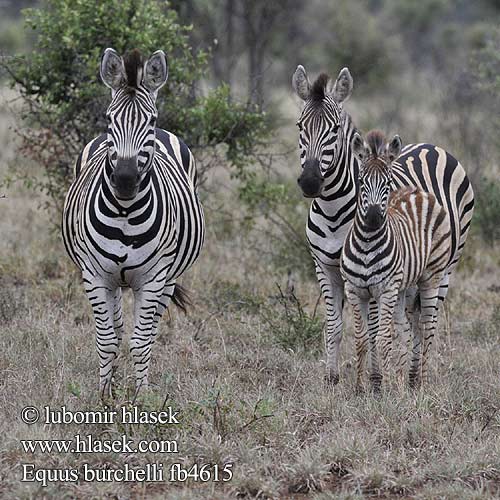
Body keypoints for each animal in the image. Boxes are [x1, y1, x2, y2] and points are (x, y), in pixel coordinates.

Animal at [61, 47, 204, 398]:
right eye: (109, 118)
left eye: (150, 120)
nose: (125, 180)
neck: (125, 212)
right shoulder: (95, 276)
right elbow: (107, 339)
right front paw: (104, 396)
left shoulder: (153, 278)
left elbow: (141, 342)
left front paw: (142, 397)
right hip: (113, 281)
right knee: (117, 326)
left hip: (168, 279)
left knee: (148, 330)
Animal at [340, 132, 454, 390]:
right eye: (360, 181)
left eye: (388, 182)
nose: (373, 218)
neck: (367, 244)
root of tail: (420, 192)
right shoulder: (354, 289)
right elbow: (361, 339)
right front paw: (360, 387)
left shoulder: (386, 289)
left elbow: (382, 339)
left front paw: (383, 388)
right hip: (404, 287)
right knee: (406, 328)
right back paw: (405, 380)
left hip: (431, 277)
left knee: (426, 326)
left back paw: (421, 382)